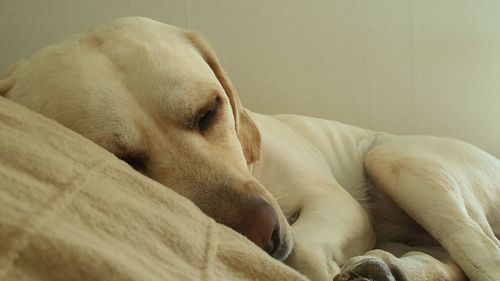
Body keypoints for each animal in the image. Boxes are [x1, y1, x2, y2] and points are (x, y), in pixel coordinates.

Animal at [0, 17, 500, 278]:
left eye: (208, 112)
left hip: (395, 158)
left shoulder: (334, 203)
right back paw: (386, 266)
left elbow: (306, 248)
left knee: (479, 249)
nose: (265, 234)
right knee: (451, 259)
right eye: (121, 161)